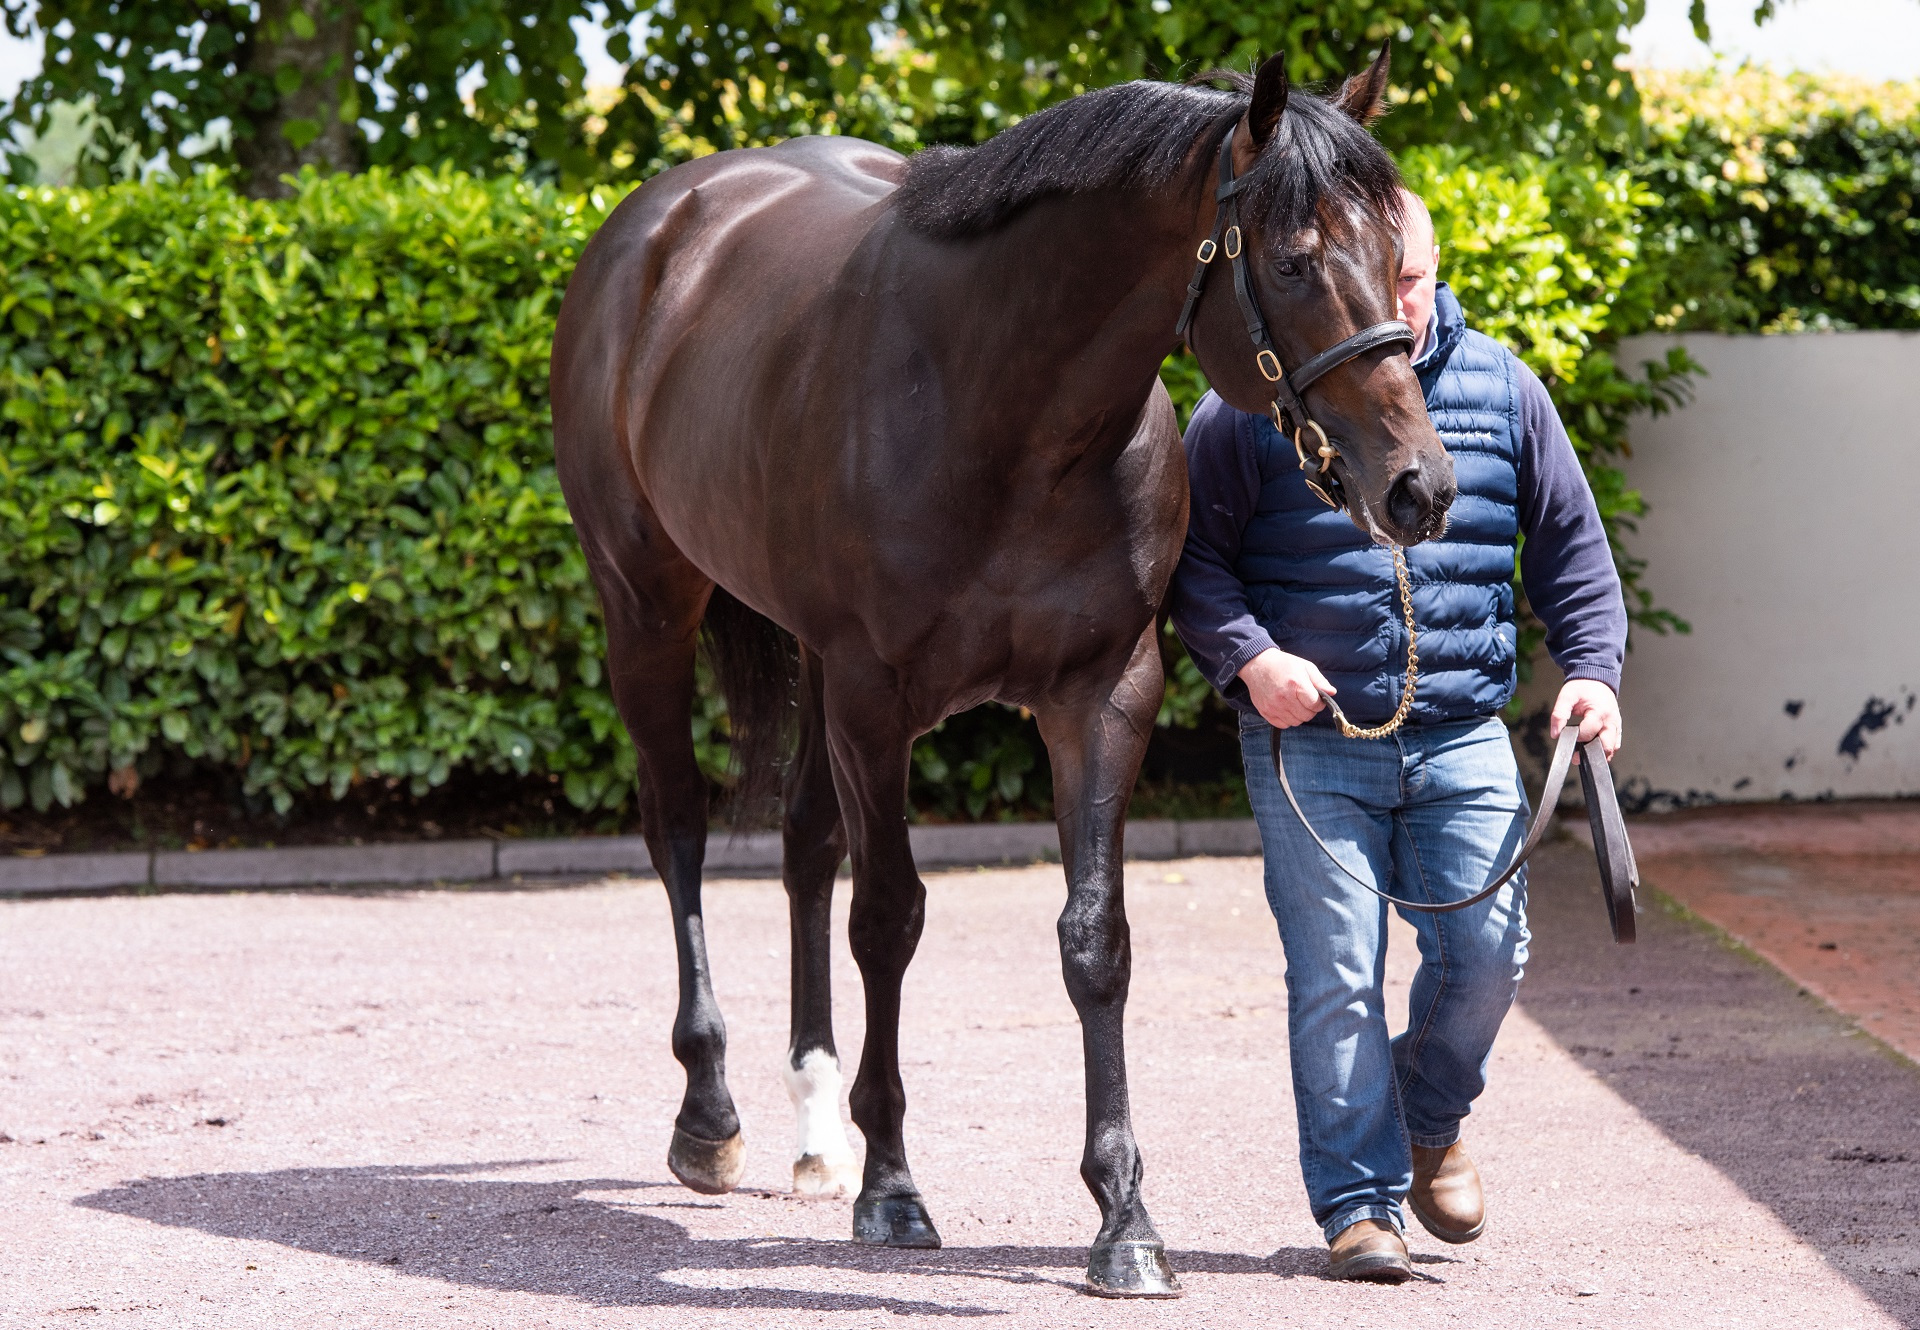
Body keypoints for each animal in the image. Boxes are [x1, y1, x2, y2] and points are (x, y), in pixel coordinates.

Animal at [549, 46, 1443, 1289]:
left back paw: (815, 1129)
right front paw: (893, 1188)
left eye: (1398, 258)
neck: (1004, 409)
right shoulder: (875, 699)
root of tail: (655, 227)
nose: (1417, 485)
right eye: (1296, 258)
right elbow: (888, 918)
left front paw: (1124, 1218)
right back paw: (711, 1117)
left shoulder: (1101, 697)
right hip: (646, 605)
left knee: (804, 845)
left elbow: (1095, 939)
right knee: (678, 825)